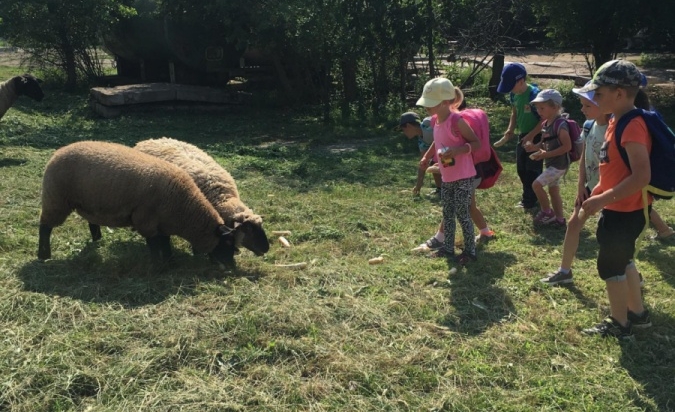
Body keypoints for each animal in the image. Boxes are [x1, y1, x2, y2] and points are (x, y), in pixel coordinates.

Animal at [37, 140, 238, 266]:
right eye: (227, 243)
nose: (232, 268)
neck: (183, 208)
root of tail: (57, 152)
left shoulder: (161, 223)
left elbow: (165, 242)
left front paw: (170, 261)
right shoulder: (146, 220)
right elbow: (154, 244)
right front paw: (158, 265)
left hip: (88, 201)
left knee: (90, 220)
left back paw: (97, 238)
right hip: (56, 198)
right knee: (45, 226)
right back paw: (43, 255)